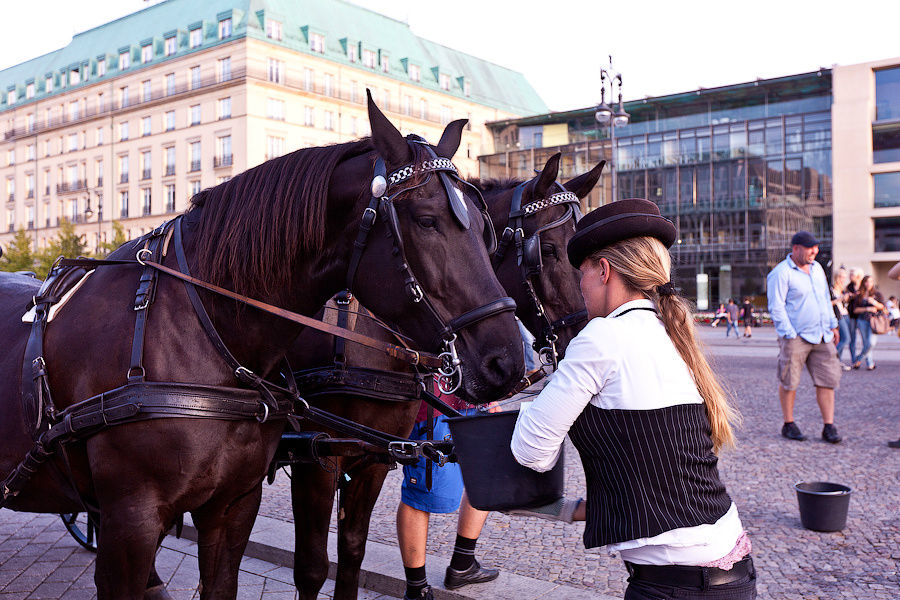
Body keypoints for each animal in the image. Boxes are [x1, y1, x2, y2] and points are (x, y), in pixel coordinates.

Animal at [0, 95, 520, 600]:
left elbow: (342, 555)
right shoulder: (139, 517)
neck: (202, 330)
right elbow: (313, 566)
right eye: (427, 220)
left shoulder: (250, 499)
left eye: (486, 231)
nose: (511, 359)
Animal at [284, 154, 600, 600]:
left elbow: (352, 550)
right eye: (550, 251)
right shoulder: (315, 455)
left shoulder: (375, 454)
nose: (587, 337)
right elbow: (312, 567)